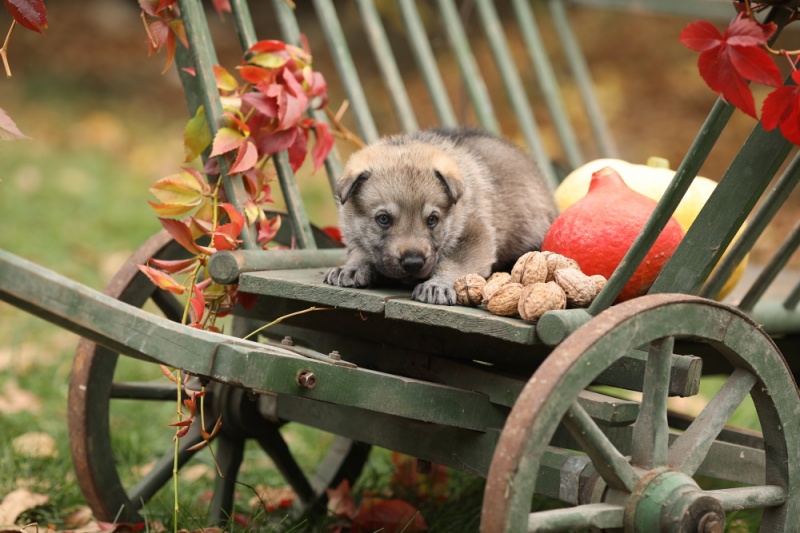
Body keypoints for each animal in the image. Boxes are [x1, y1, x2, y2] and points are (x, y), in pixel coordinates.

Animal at [324, 127, 556, 306]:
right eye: (383, 219)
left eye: (432, 220)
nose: (413, 262)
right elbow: (361, 251)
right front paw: (351, 268)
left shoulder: (475, 236)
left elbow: (455, 263)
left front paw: (438, 285)